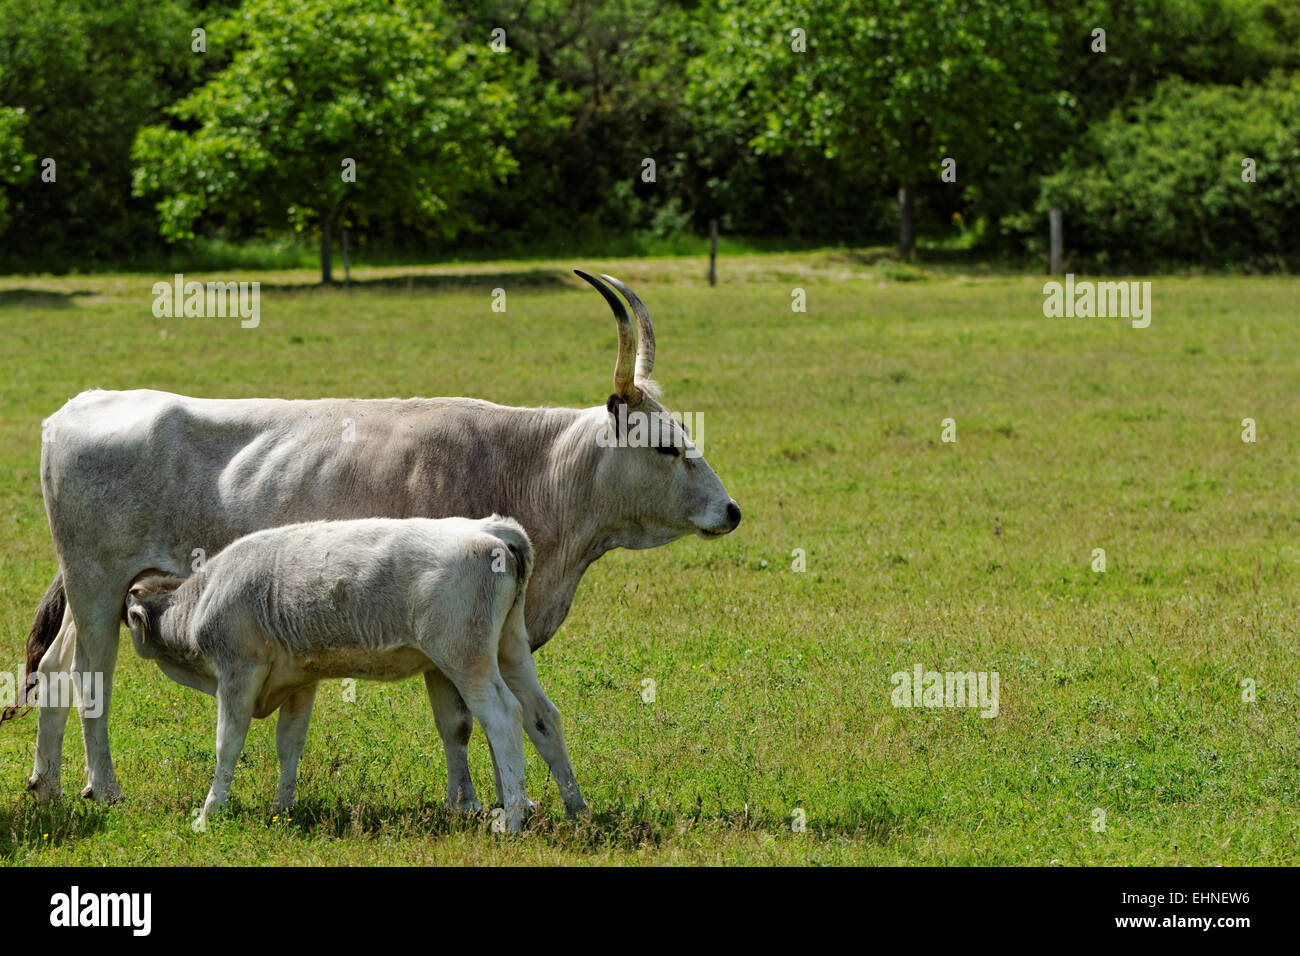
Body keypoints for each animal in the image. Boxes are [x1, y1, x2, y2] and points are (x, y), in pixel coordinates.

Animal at [124, 512, 587, 832]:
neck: (202, 599)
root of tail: (490, 529)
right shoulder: (300, 682)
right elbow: (289, 745)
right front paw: (281, 808)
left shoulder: (237, 673)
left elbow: (227, 745)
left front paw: (209, 813)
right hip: (510, 650)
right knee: (543, 717)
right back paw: (576, 808)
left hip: (467, 659)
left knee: (505, 718)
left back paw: (512, 820)